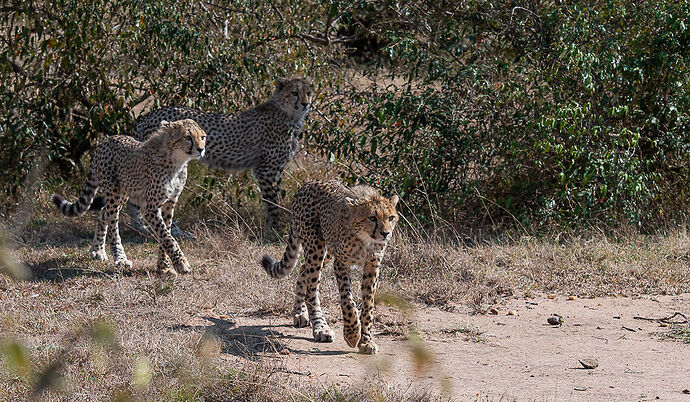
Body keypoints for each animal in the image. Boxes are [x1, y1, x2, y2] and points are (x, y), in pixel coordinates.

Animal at [51, 119, 204, 276]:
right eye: (187, 137)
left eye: (202, 137)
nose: (201, 149)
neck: (176, 160)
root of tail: (106, 139)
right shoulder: (151, 208)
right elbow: (167, 237)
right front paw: (181, 263)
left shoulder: (169, 203)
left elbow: (165, 234)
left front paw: (164, 267)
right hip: (114, 193)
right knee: (112, 222)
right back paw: (120, 258)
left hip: (124, 193)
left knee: (103, 213)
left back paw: (98, 250)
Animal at [108, 76, 312, 234]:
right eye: (294, 92)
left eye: (308, 93)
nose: (306, 104)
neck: (287, 113)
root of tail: (148, 115)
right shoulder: (267, 169)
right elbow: (272, 202)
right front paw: (275, 228)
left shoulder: (274, 169)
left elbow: (273, 200)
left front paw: (273, 227)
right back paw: (156, 229)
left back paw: (143, 228)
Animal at [260, 181, 400, 354]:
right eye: (372, 218)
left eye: (391, 218)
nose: (386, 233)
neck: (365, 239)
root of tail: (308, 183)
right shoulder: (341, 263)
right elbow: (348, 301)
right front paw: (352, 334)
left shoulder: (372, 265)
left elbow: (368, 305)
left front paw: (366, 341)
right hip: (316, 247)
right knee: (311, 289)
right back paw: (320, 328)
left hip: (326, 252)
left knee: (303, 269)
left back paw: (299, 313)